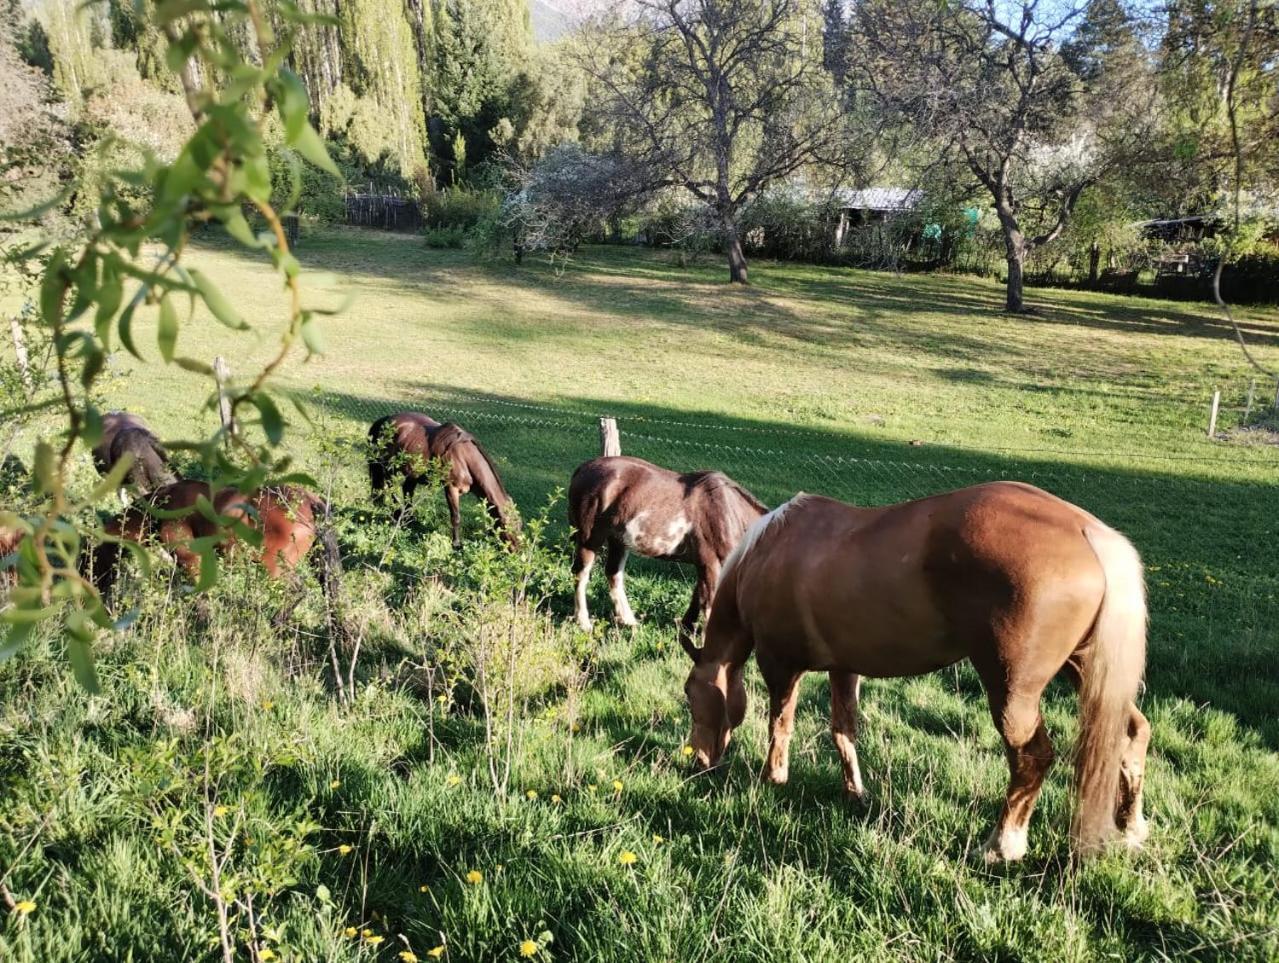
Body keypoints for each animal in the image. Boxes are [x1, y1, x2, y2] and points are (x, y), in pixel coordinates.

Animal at [365, 409, 519, 547]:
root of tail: (387, 419)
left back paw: (407, 517)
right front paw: (456, 544)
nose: (517, 551)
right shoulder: (451, 489)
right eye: (508, 527)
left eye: (520, 525)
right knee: (390, 486)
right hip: (389, 466)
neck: (463, 457)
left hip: (411, 473)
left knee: (406, 491)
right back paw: (397, 511)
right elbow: (456, 517)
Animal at [572, 457, 767, 639]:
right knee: (581, 574)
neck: (731, 514)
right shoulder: (710, 562)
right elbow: (708, 602)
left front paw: (687, 629)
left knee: (613, 573)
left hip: (618, 540)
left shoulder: (705, 565)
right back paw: (584, 623)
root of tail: (583, 468)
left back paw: (629, 622)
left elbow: (698, 596)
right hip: (590, 539)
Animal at [690, 483, 1151, 859]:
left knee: (1031, 758)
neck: (766, 553)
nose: (698, 762)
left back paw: (1001, 846)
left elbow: (779, 724)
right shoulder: (844, 669)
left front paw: (773, 778)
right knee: (1133, 734)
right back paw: (1130, 829)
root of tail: (1085, 531)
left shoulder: (780, 665)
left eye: (691, 697)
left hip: (1011, 692)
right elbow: (844, 732)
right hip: (1088, 673)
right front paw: (855, 791)